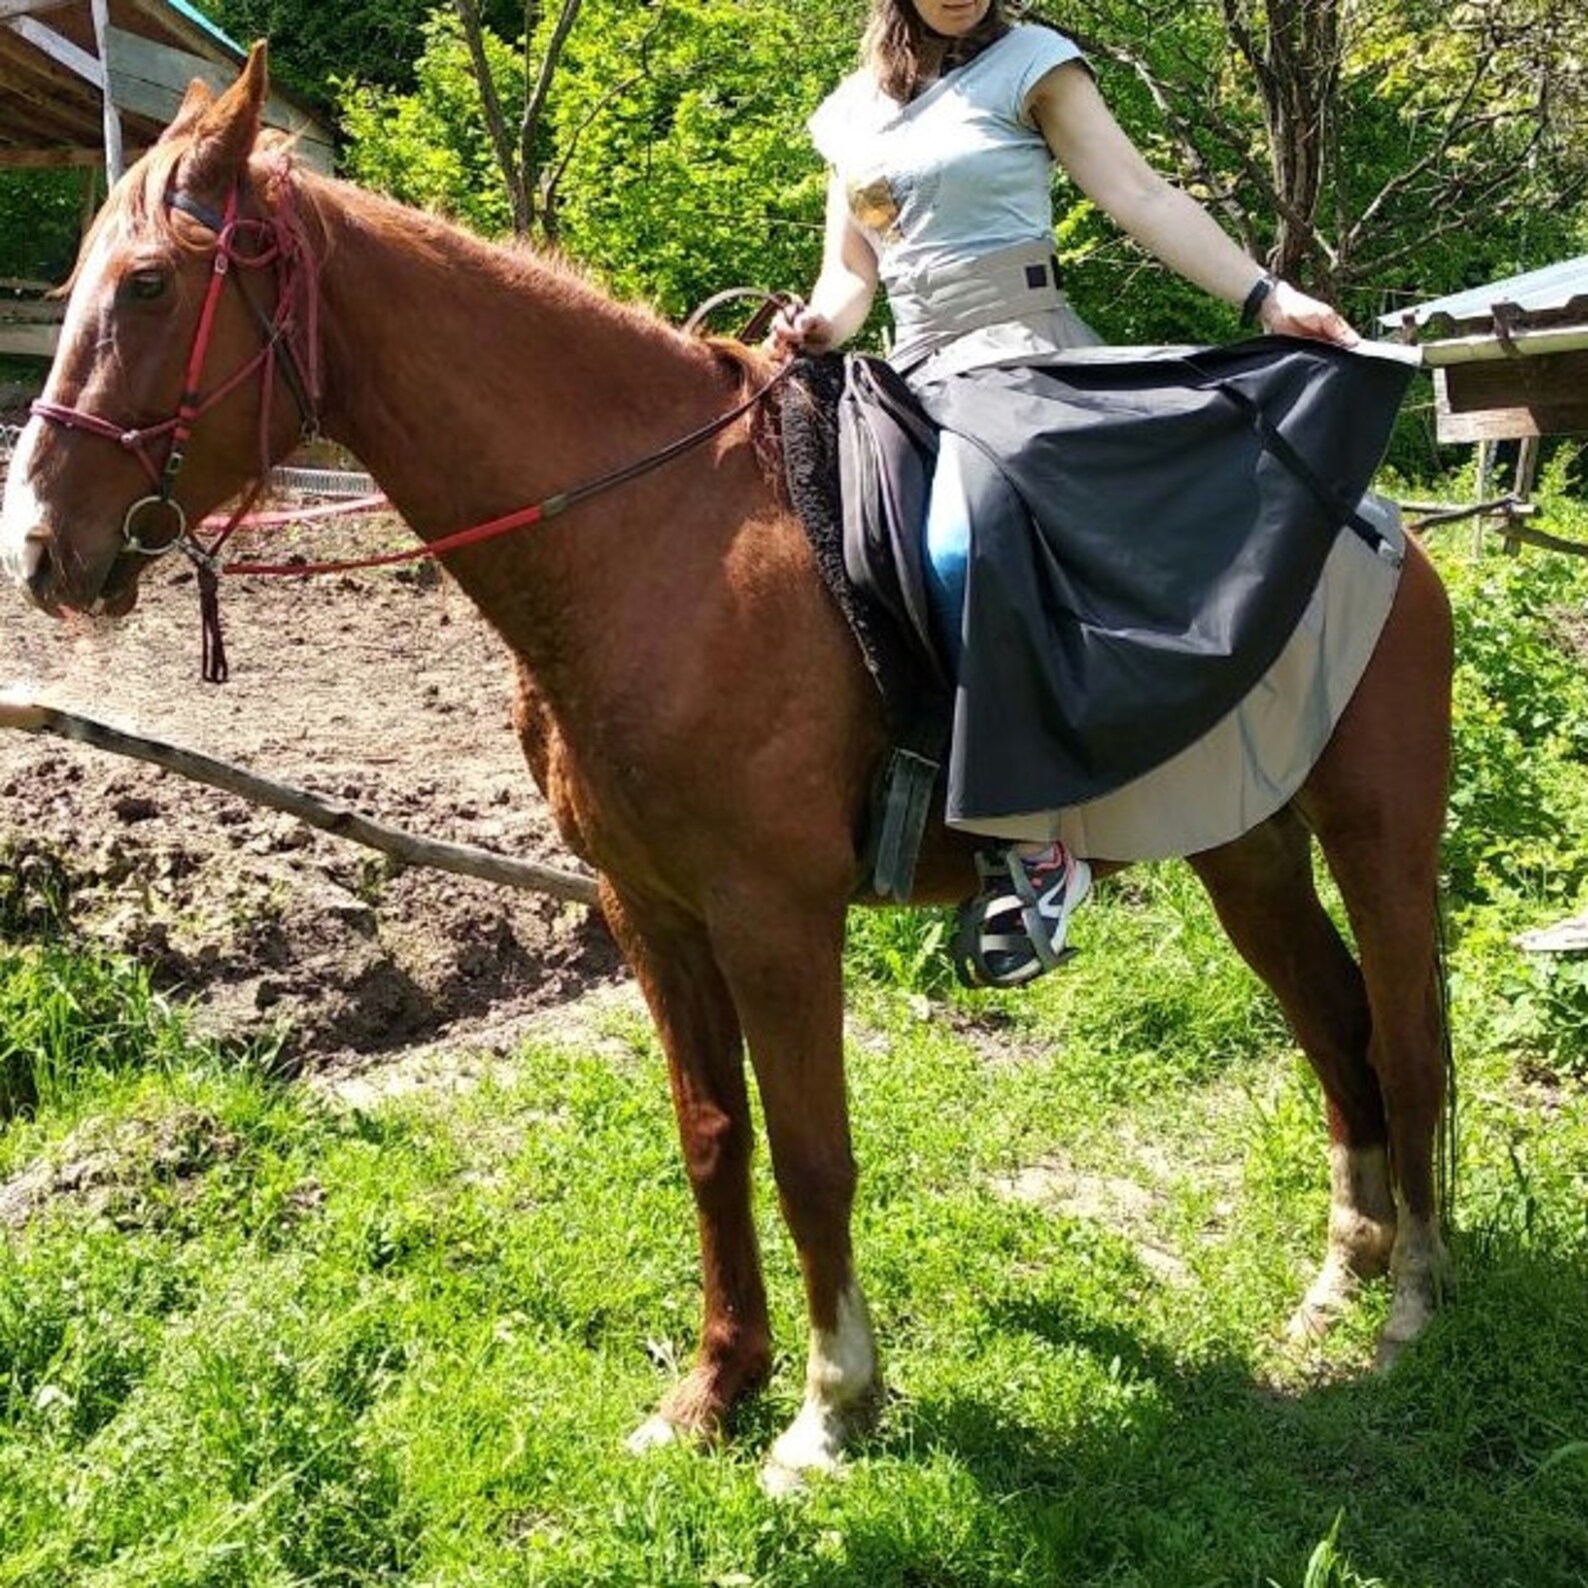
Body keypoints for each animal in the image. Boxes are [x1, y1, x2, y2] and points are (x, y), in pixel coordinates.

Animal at [0, 47, 1453, 1491]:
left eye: (149, 283)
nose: (40, 550)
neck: (655, 536)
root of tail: (1387, 529)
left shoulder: (773, 914)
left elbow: (812, 1152)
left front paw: (830, 1409)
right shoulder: (651, 908)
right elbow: (712, 1138)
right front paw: (714, 1389)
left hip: (1378, 840)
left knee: (1405, 1033)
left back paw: (1410, 1308)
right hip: (1245, 848)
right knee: (1332, 1025)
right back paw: (1338, 1280)